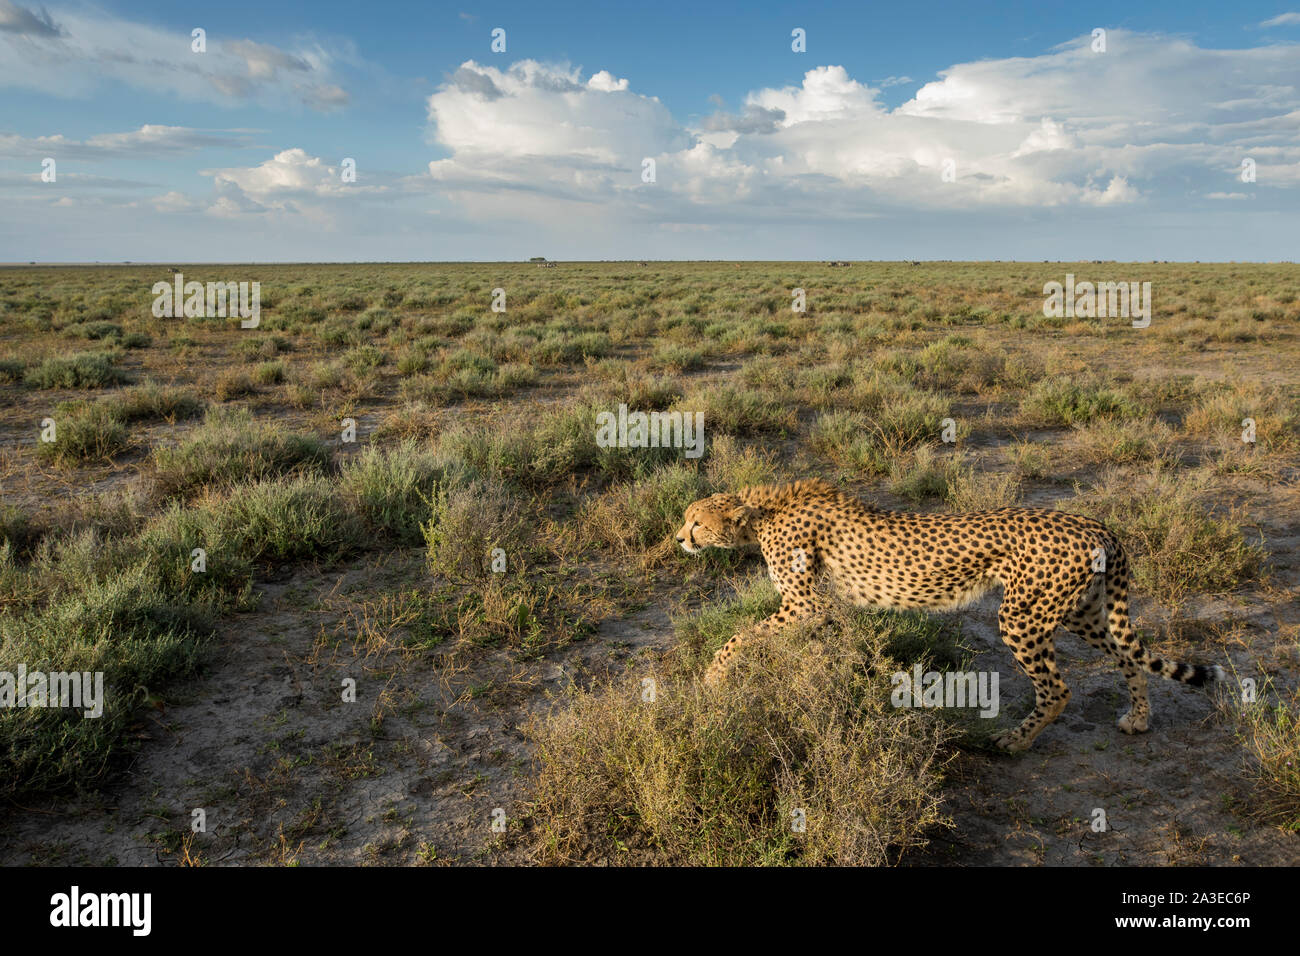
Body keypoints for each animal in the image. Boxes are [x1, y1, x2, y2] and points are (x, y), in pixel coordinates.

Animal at [676, 481, 1222, 749]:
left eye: (696, 522)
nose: (679, 539)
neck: (762, 515)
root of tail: (1093, 523)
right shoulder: (821, 609)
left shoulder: (805, 604)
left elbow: (741, 636)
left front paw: (715, 676)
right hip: (1080, 612)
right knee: (1129, 656)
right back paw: (1139, 719)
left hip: (1022, 616)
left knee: (1058, 689)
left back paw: (1012, 741)